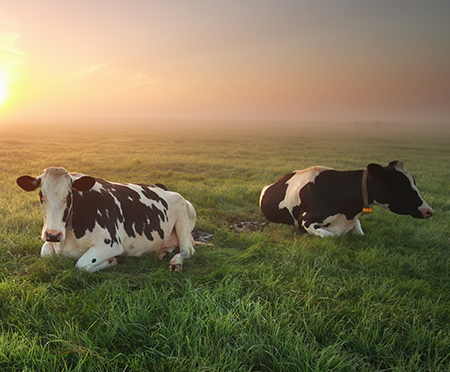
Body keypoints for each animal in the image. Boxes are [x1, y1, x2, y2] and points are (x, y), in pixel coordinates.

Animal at [260, 161, 432, 237]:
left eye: (414, 181)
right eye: (401, 184)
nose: (429, 211)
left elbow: (360, 231)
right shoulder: (305, 221)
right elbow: (330, 235)